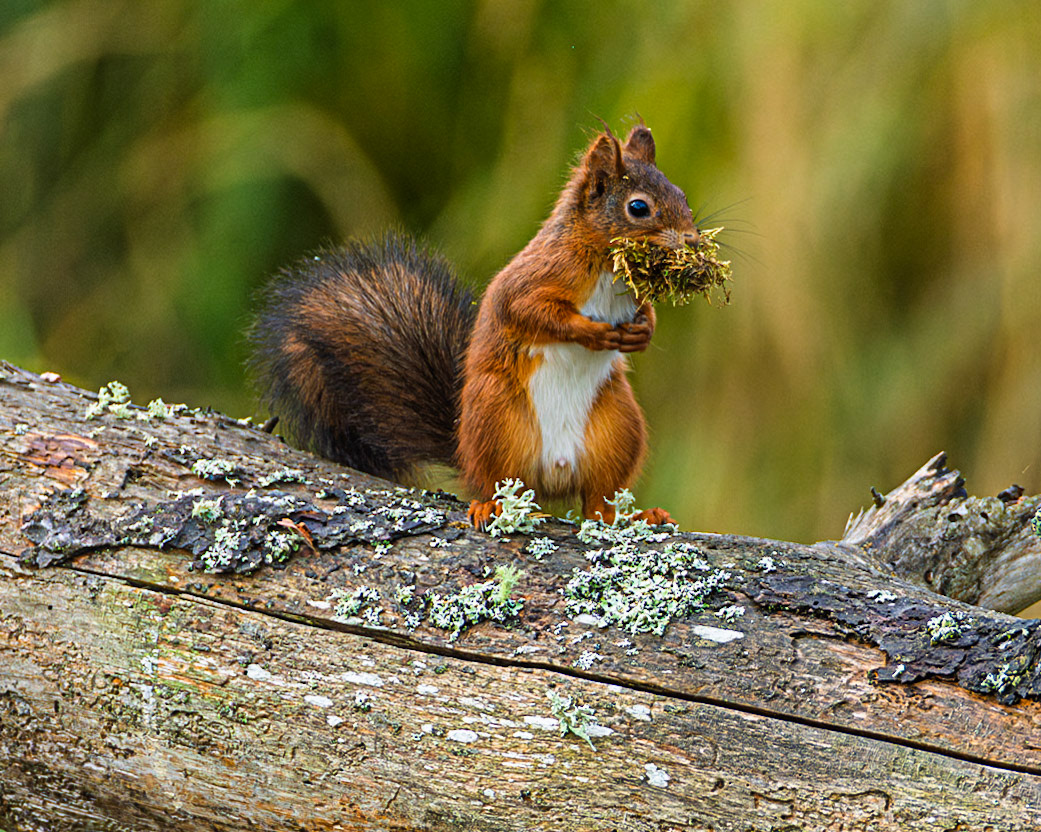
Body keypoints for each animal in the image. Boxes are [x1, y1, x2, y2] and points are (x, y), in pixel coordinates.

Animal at [249, 123, 700, 528]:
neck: (607, 265)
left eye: (683, 196)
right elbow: (533, 312)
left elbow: (646, 313)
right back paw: (492, 508)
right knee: (498, 485)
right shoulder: (534, 279)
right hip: (495, 419)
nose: (693, 242)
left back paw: (637, 516)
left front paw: (643, 332)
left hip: (618, 429)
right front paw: (593, 332)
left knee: (597, 504)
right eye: (638, 208)